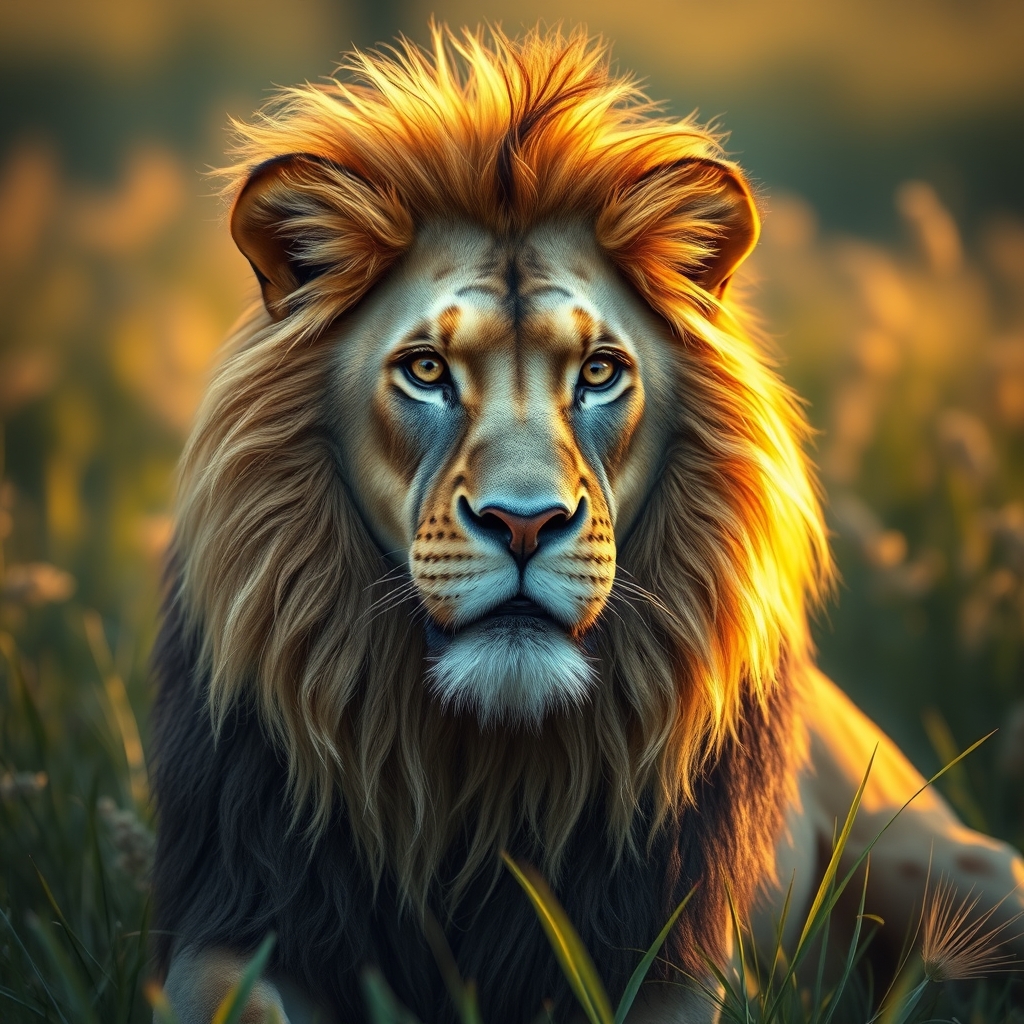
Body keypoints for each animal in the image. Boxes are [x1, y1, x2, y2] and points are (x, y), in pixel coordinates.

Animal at [151, 25, 1024, 1024]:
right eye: (425, 369)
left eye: (601, 371)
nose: (524, 524)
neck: (479, 772)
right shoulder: (238, 911)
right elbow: (235, 999)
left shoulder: (670, 958)